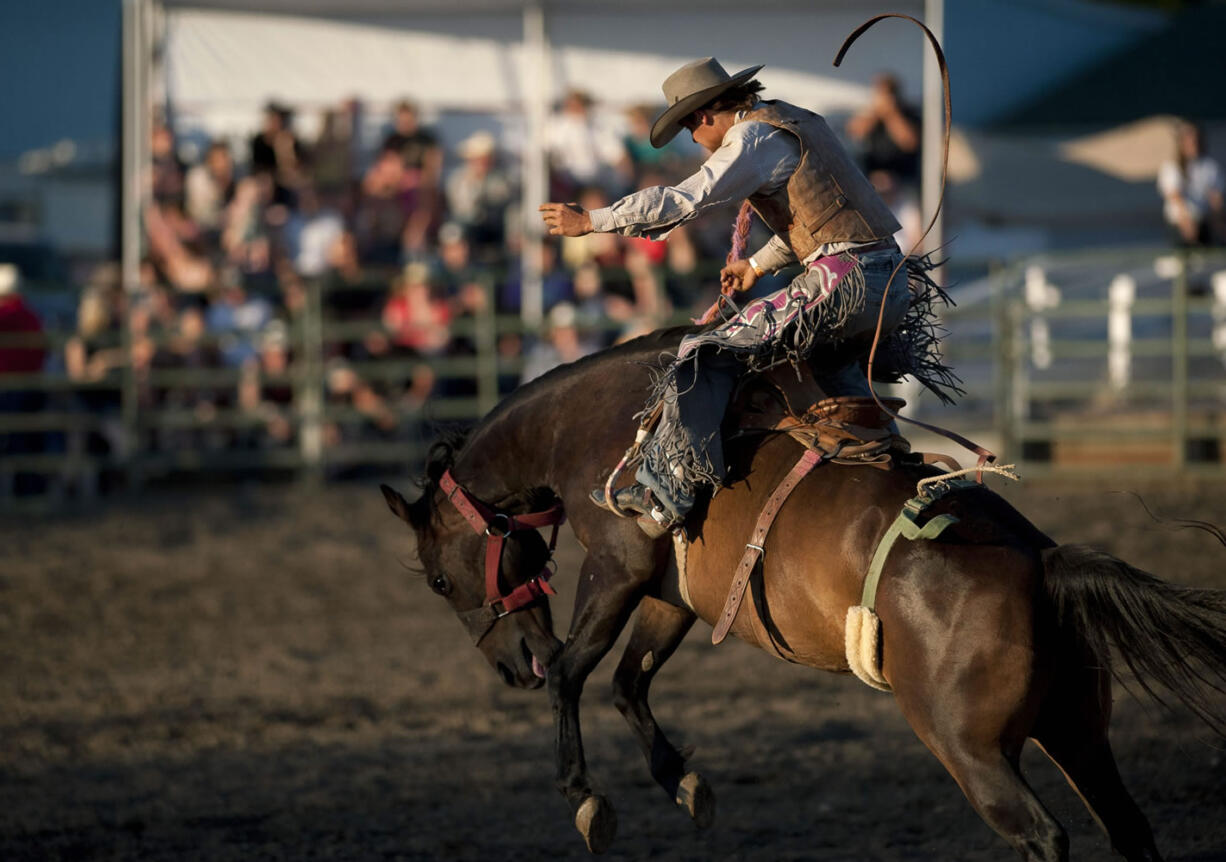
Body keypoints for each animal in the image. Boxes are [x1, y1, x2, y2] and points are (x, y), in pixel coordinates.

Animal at [380, 326, 1226, 858]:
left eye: (439, 579)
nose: (509, 666)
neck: (593, 426)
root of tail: (1043, 563)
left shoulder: (617, 564)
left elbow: (575, 675)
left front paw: (587, 801)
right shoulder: (668, 591)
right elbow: (629, 680)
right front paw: (683, 782)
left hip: (972, 749)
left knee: (1043, 836)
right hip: (1077, 729)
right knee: (1128, 828)